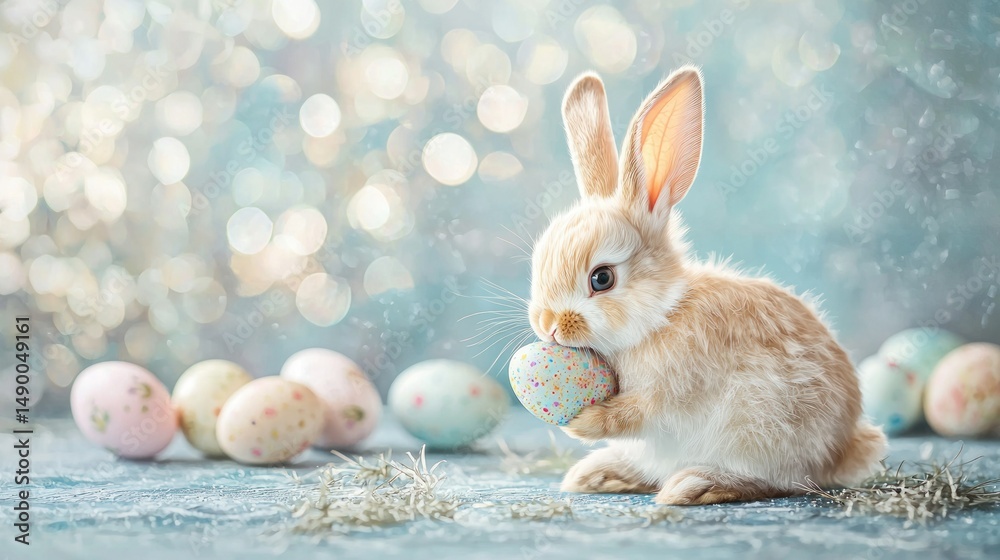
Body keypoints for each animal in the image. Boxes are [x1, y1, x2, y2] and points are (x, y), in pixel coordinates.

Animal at [527, 66, 887, 505]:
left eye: (602, 278)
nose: (548, 325)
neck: (659, 316)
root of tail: (841, 449)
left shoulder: (668, 391)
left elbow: (634, 413)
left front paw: (582, 423)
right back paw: (598, 474)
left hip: (758, 432)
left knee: (776, 480)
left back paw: (696, 485)